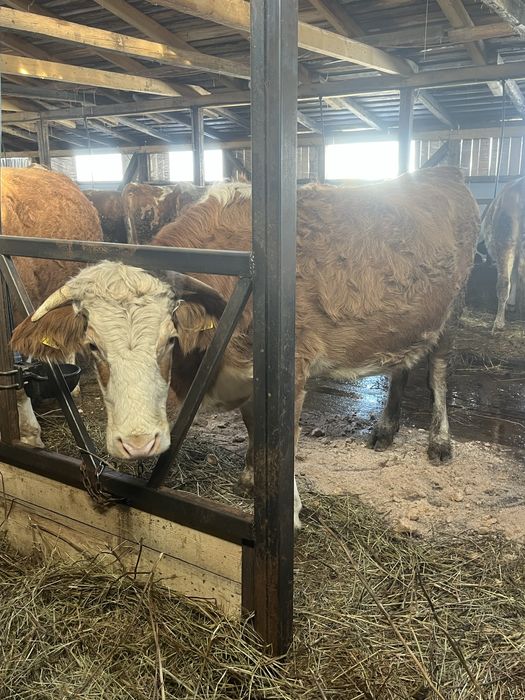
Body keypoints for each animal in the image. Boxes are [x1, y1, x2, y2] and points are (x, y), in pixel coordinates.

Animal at [11, 167, 480, 529]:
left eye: (169, 338)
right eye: (91, 346)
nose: (139, 443)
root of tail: (440, 172)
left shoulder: (293, 368)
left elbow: (282, 442)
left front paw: (289, 511)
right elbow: (256, 428)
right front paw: (253, 480)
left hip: (452, 309)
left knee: (438, 369)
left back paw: (439, 441)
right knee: (403, 363)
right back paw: (386, 428)